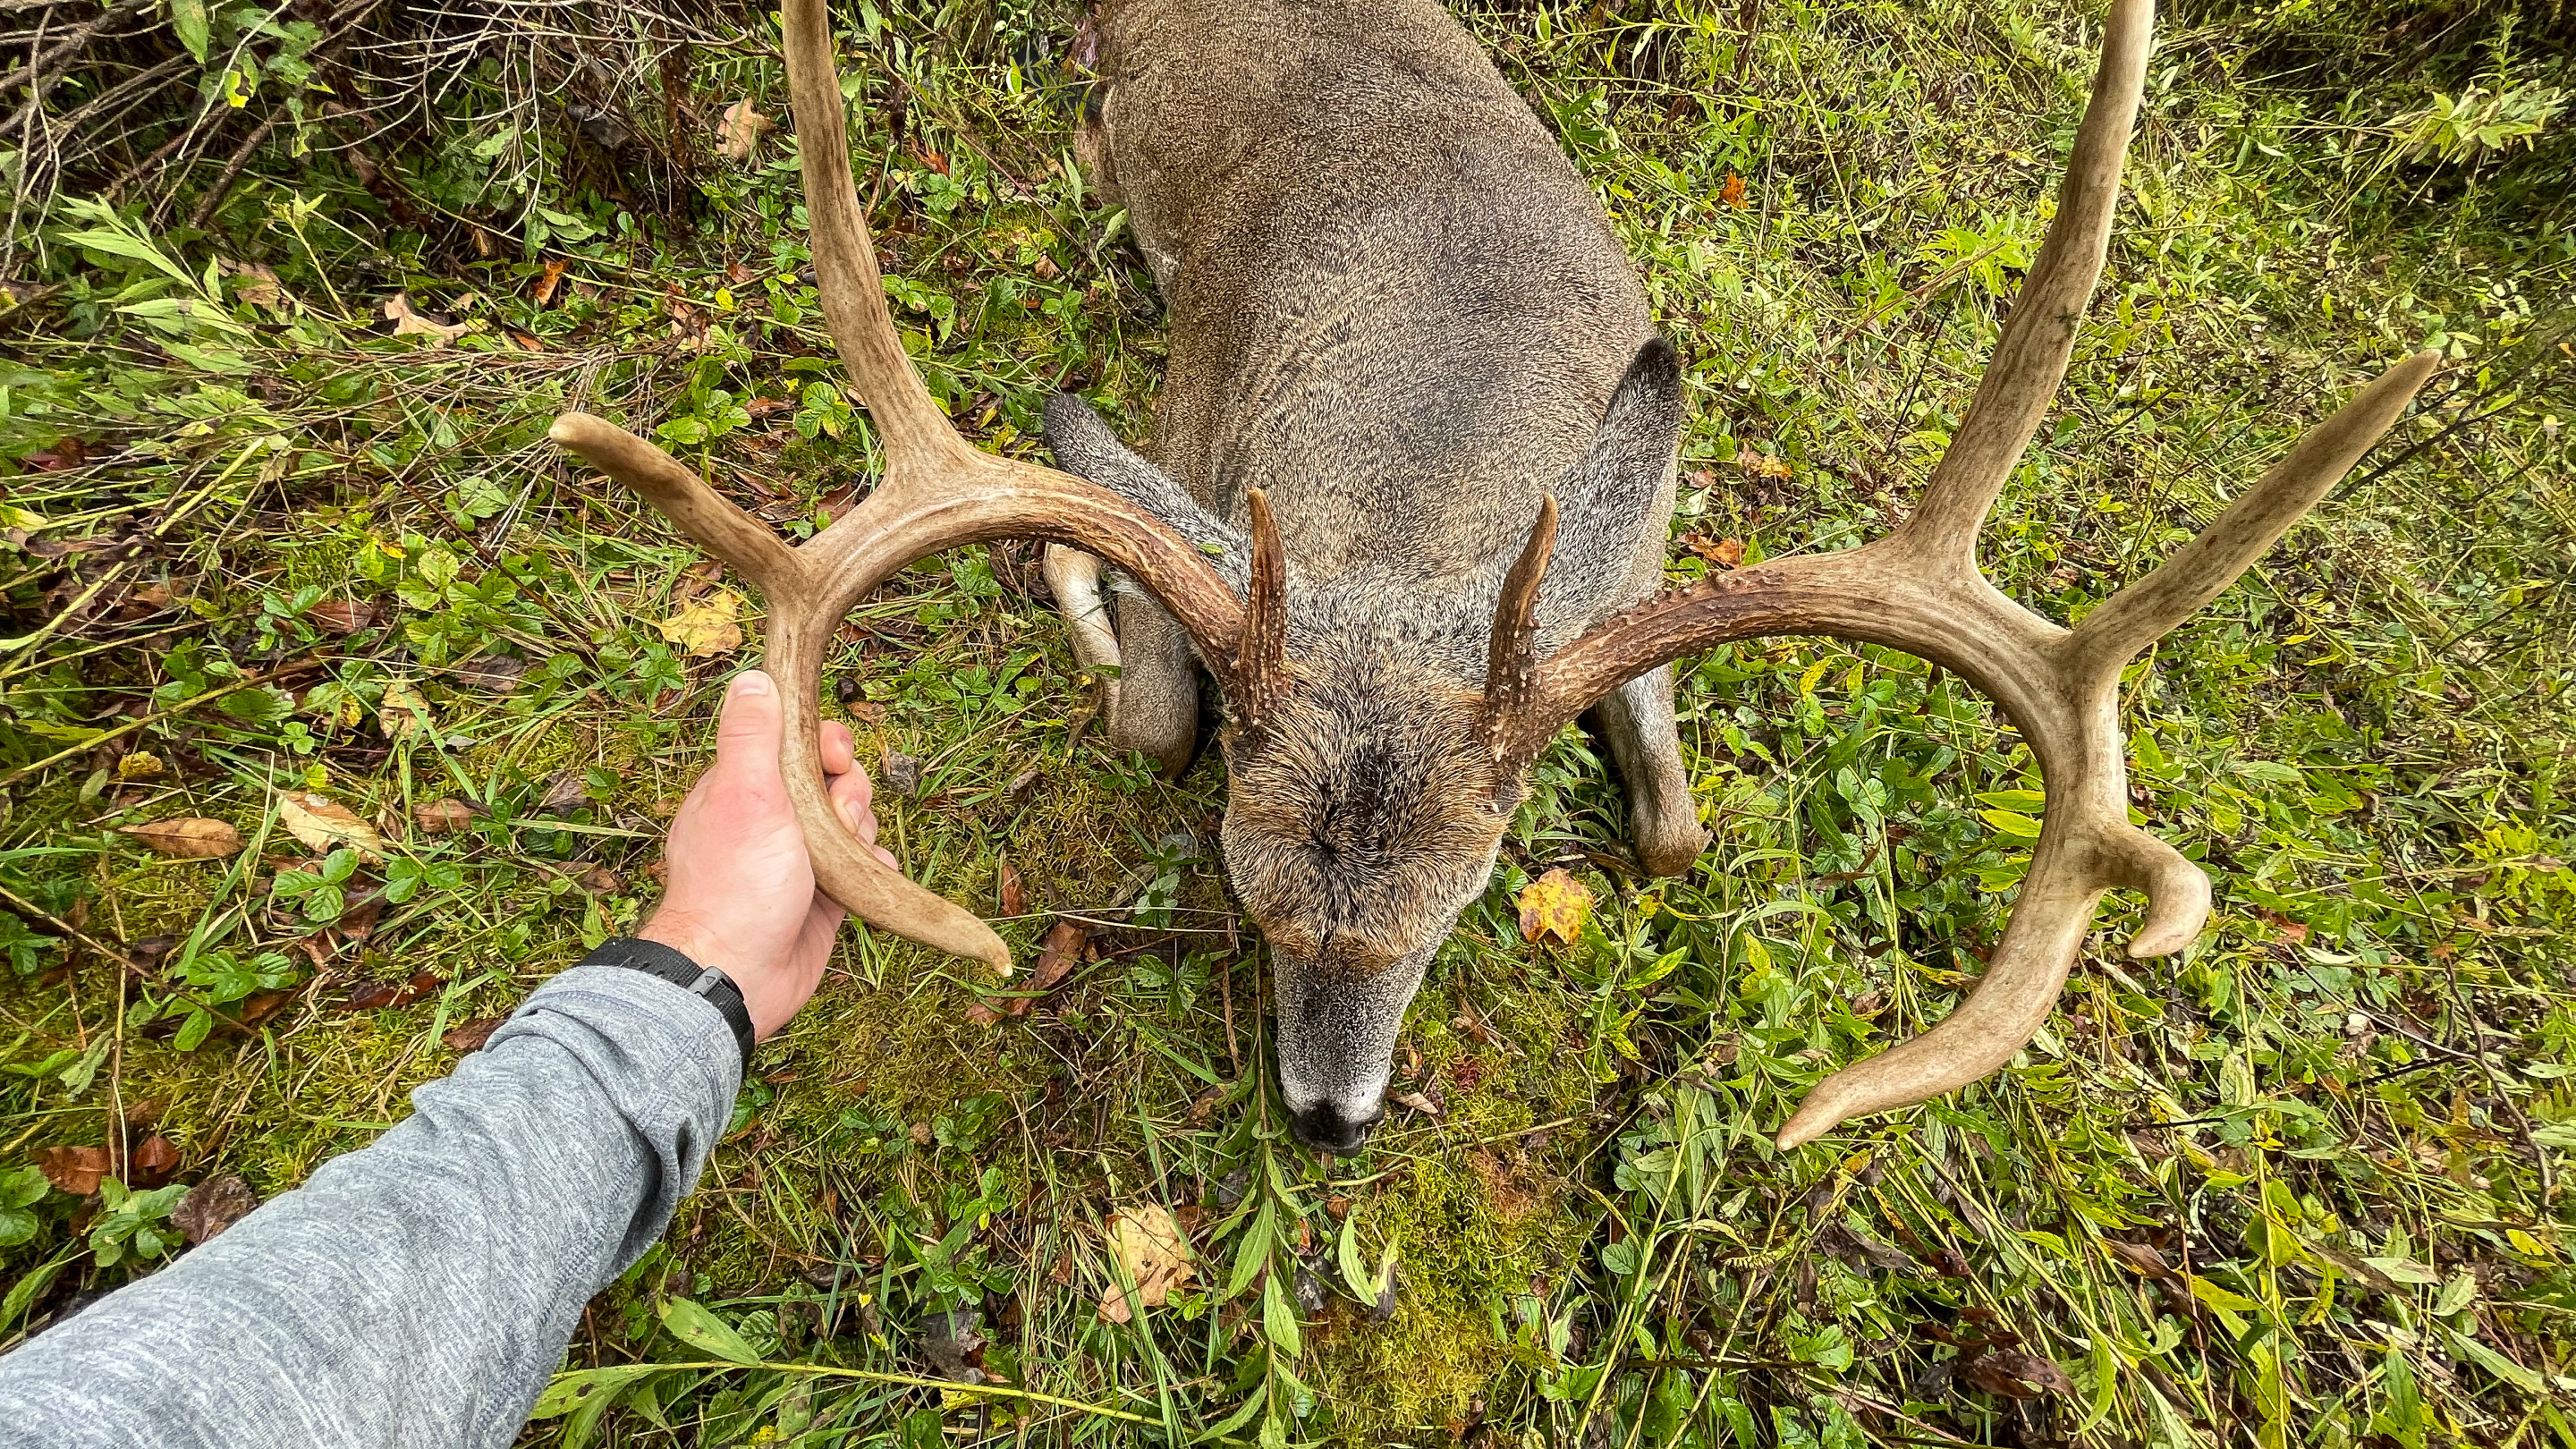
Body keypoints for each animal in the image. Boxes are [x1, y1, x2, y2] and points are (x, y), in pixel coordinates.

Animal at [551, 0, 2435, 1155]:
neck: (1424, 460)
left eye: (1460, 911)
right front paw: (1083, 605)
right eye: (1244, 898)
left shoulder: (1628, 556)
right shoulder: (1188, 427)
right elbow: (1146, 694)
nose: (1329, 1120)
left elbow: (1675, 832)